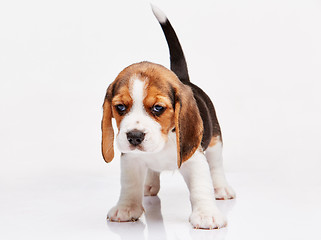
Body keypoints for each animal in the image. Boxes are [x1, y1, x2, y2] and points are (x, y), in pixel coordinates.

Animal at [101, 5, 234, 230]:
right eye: (120, 107)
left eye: (158, 108)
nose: (134, 136)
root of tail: (183, 79)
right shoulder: (131, 160)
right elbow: (129, 184)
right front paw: (126, 208)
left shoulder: (195, 159)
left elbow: (201, 186)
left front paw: (206, 214)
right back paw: (149, 184)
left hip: (215, 140)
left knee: (216, 165)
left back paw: (221, 189)